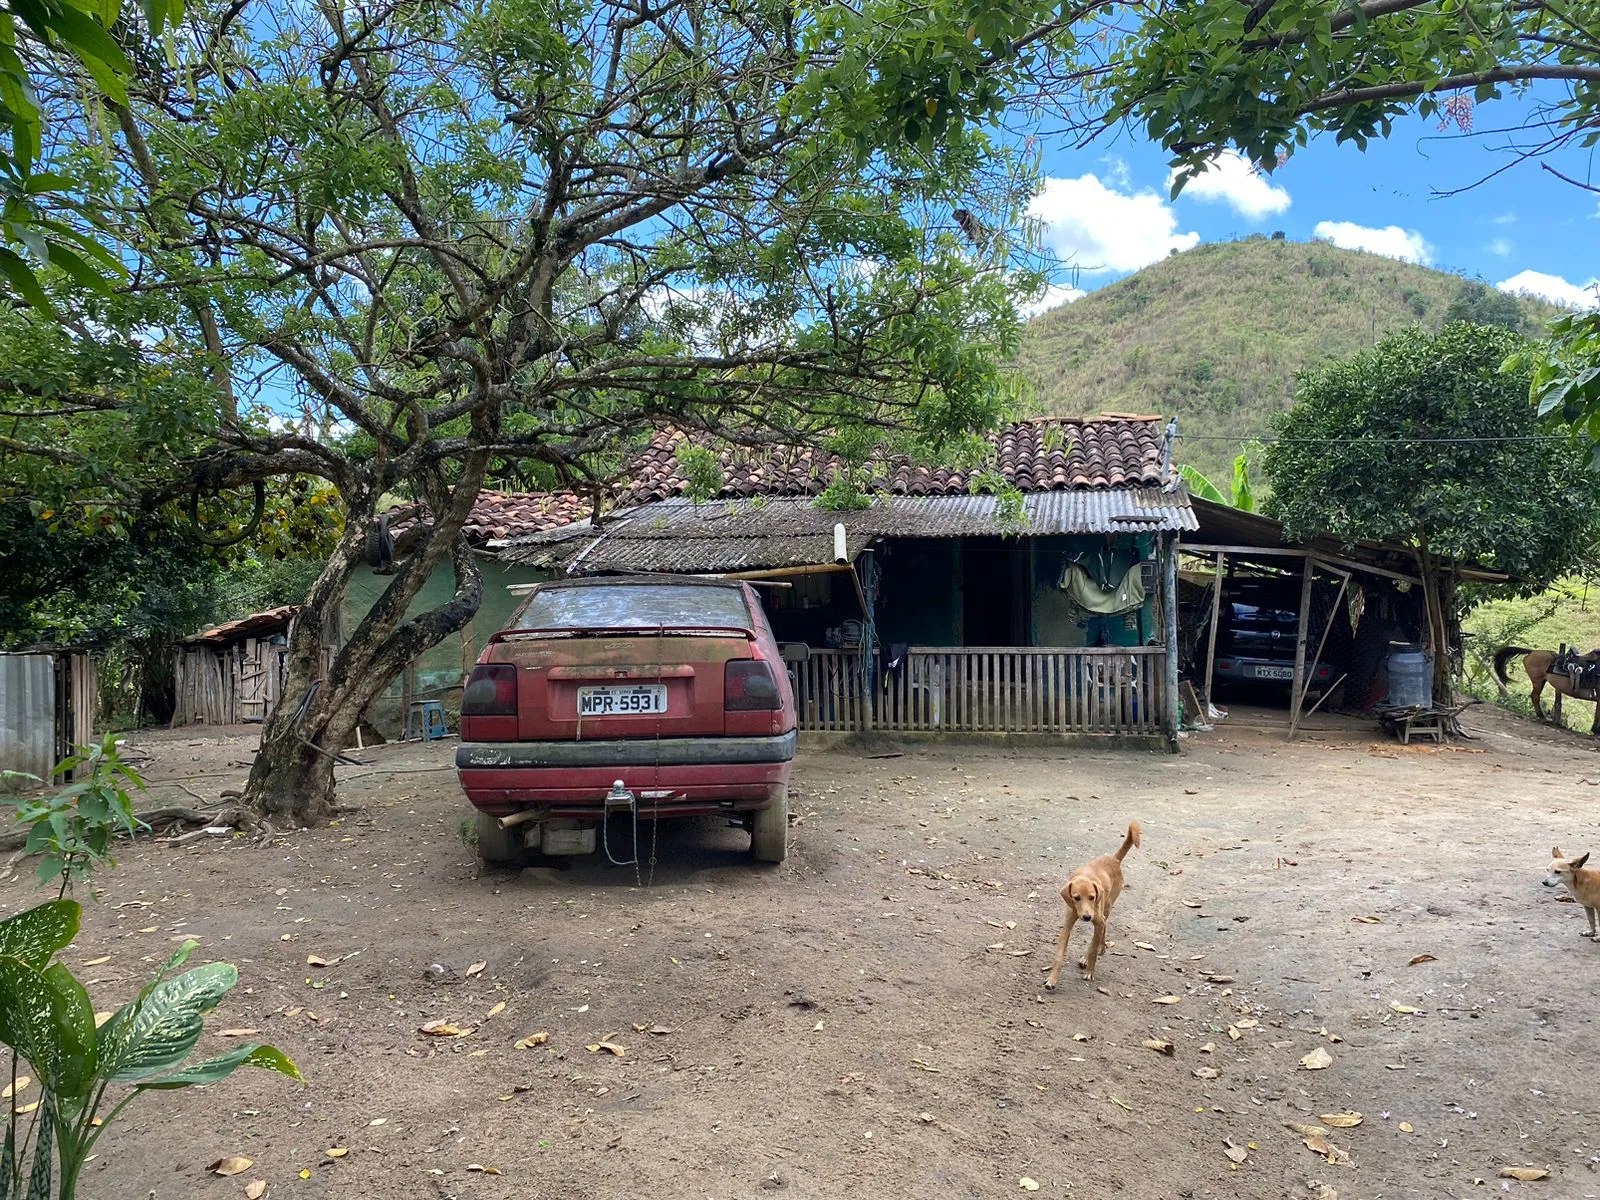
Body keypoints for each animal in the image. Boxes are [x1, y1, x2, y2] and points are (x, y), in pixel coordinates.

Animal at [1049, 825, 1139, 992]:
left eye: (1091, 897)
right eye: (1076, 898)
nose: (1086, 917)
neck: (1085, 876)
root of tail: (1114, 859)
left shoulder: (1098, 919)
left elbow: (1094, 949)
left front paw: (1090, 971)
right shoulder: (1067, 926)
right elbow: (1059, 956)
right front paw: (1052, 979)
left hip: (1106, 908)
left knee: (1102, 930)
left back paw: (1095, 951)